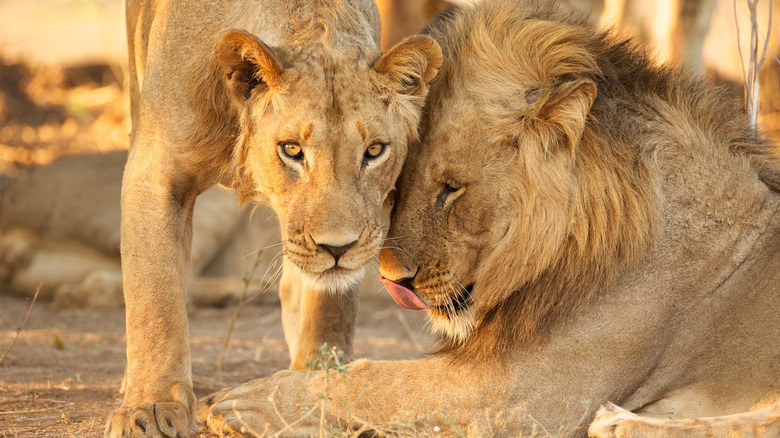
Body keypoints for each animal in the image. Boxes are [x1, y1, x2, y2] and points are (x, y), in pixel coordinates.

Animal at [109, 0, 442, 438]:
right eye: (292, 150)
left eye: (374, 150)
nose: (338, 248)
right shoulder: (155, 171)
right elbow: (156, 299)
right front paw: (151, 406)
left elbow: (330, 307)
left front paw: (312, 389)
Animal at [198, 0, 780, 438]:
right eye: (399, 180)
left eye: (451, 189)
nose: (391, 280)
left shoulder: (525, 390)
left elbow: (379, 382)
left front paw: (242, 403)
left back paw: (620, 423)